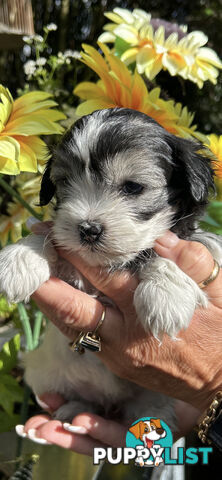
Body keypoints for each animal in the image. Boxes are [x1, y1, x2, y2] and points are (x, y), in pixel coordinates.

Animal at [0, 109, 222, 432]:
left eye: (132, 187)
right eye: (66, 182)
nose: (87, 229)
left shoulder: (204, 248)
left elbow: (171, 249)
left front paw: (166, 296)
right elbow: (51, 236)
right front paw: (20, 258)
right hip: (42, 371)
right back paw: (74, 410)